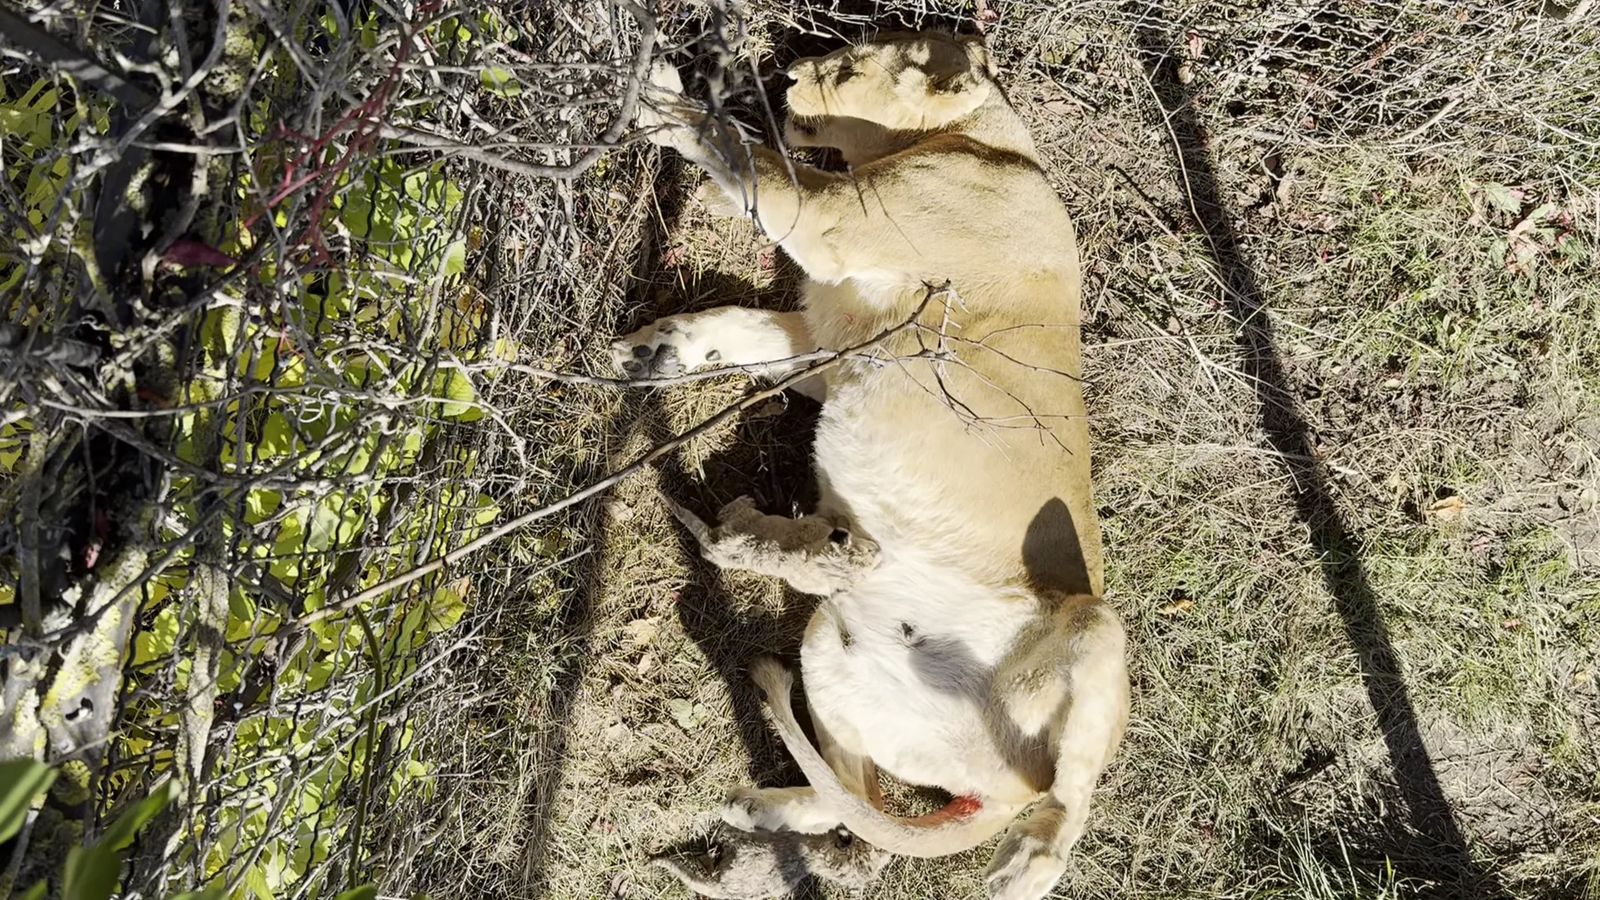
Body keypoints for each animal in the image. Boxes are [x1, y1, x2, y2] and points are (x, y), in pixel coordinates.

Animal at [620, 31, 1130, 900]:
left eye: (850, 64)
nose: (788, 75)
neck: (982, 140)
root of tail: (1003, 790)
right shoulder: (828, 340)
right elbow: (739, 324)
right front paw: (663, 350)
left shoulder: (837, 221)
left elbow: (743, 153)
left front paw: (661, 97)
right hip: (830, 647)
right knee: (854, 812)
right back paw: (758, 805)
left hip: (1100, 632)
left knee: (1066, 801)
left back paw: (1022, 867)